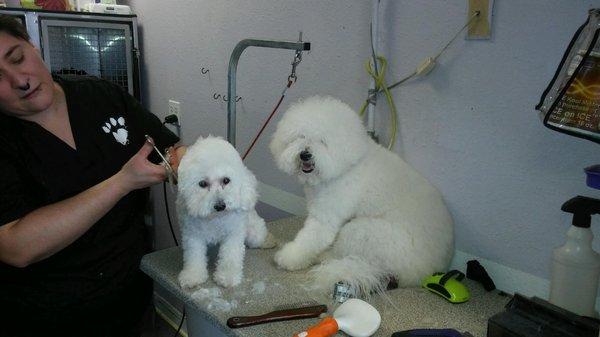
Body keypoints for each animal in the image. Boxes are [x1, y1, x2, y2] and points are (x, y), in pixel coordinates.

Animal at [176, 135, 274, 288]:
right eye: (202, 184)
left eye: (226, 180)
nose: (220, 205)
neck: (215, 218)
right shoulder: (193, 236)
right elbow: (194, 257)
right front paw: (193, 276)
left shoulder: (233, 234)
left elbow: (230, 257)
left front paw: (228, 277)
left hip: (253, 230)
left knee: (259, 235)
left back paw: (267, 241)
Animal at [270, 95, 452, 294]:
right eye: (300, 136)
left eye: (323, 141)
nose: (305, 154)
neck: (347, 164)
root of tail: (419, 274)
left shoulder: (325, 218)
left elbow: (309, 240)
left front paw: (289, 257)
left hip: (361, 232)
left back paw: (325, 256)